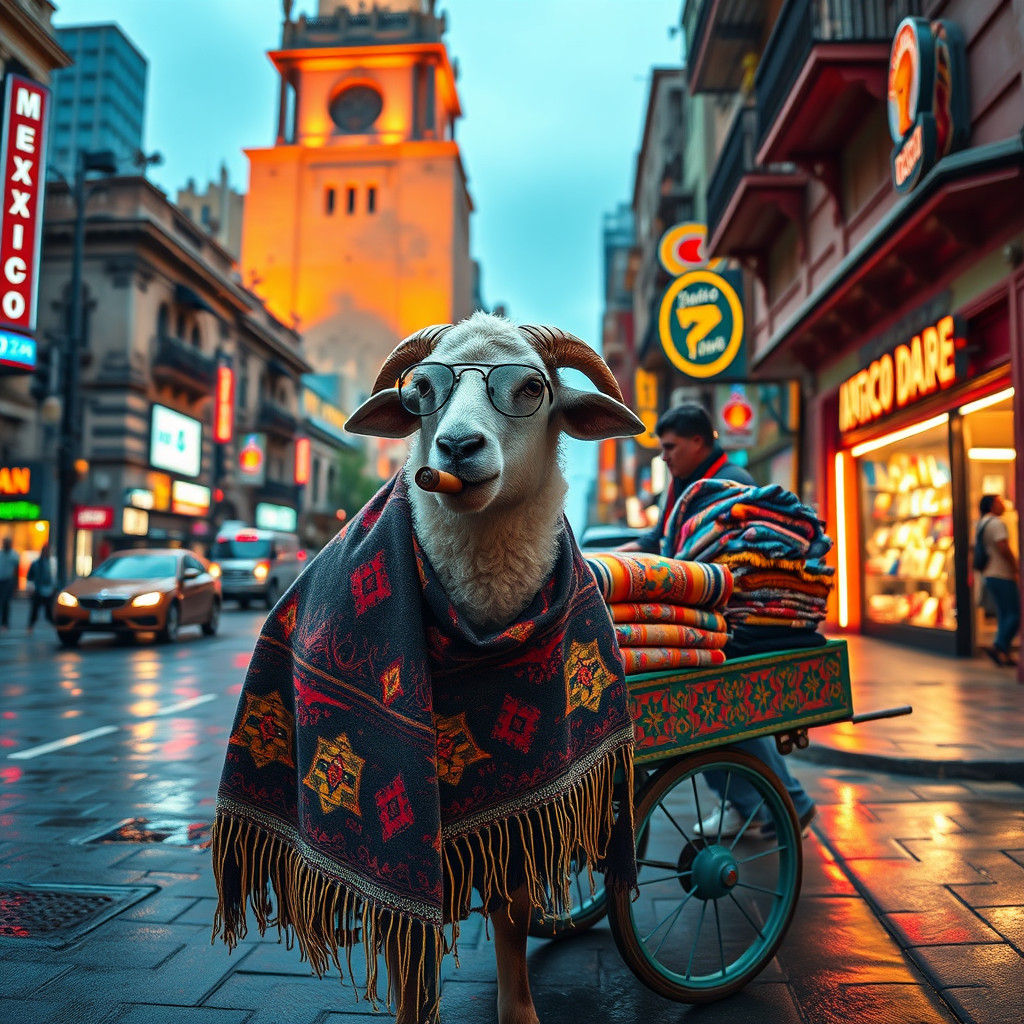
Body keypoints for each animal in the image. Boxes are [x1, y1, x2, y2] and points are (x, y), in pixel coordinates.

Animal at [345, 310, 643, 1024]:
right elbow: (412, 937)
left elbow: (512, 910)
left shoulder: (527, 790)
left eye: (531, 388)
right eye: (421, 389)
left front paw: (521, 1011)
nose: (455, 448)